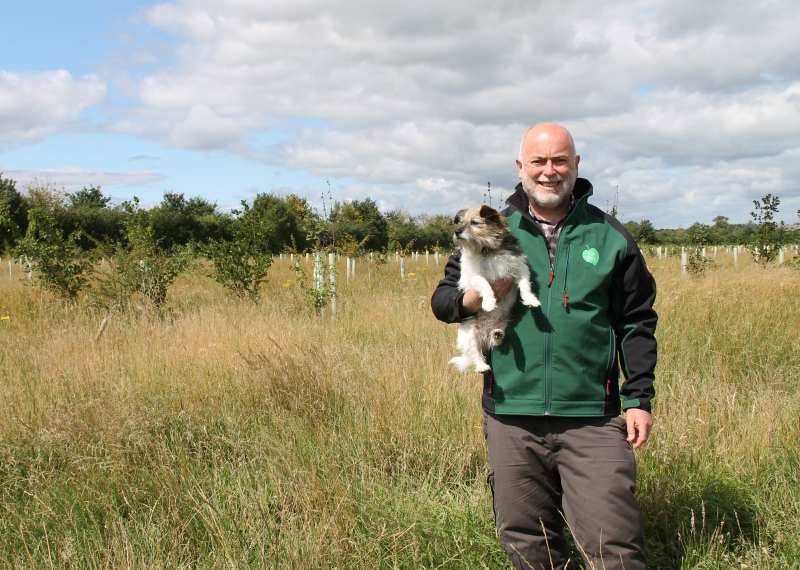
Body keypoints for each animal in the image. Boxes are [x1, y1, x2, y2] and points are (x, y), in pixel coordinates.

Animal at [450, 204, 536, 372]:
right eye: (461, 222)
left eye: (474, 223)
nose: (457, 232)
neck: (488, 250)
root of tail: (484, 332)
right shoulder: (475, 275)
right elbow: (485, 285)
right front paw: (489, 302)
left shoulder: (519, 268)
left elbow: (525, 285)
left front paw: (531, 299)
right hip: (469, 335)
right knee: (475, 354)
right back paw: (482, 366)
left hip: (503, 324)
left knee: (495, 341)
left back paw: (496, 334)